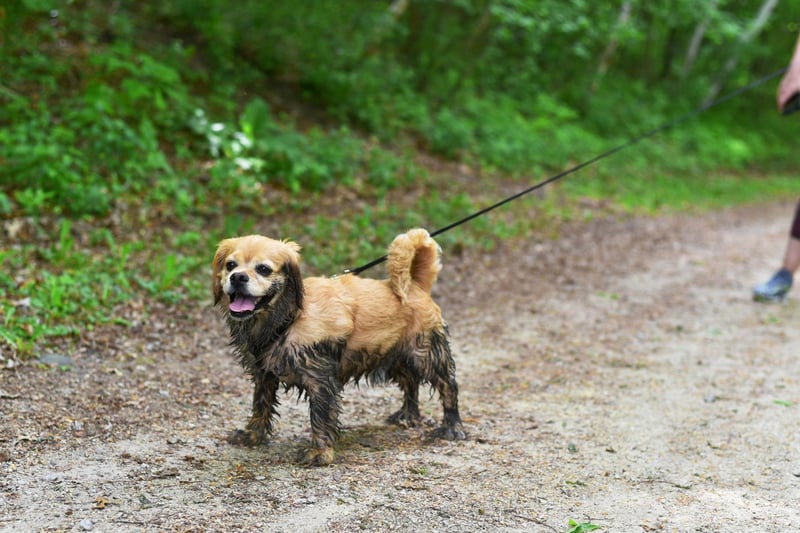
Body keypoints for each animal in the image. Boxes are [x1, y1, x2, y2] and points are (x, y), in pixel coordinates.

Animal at [212, 229, 466, 466]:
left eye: (264, 269)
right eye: (230, 265)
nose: (238, 277)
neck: (289, 319)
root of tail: (415, 285)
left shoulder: (321, 379)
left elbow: (321, 416)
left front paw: (320, 452)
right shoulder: (263, 374)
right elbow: (260, 406)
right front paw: (252, 435)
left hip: (426, 353)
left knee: (448, 387)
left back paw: (452, 426)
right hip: (395, 355)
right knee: (411, 382)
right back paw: (408, 415)